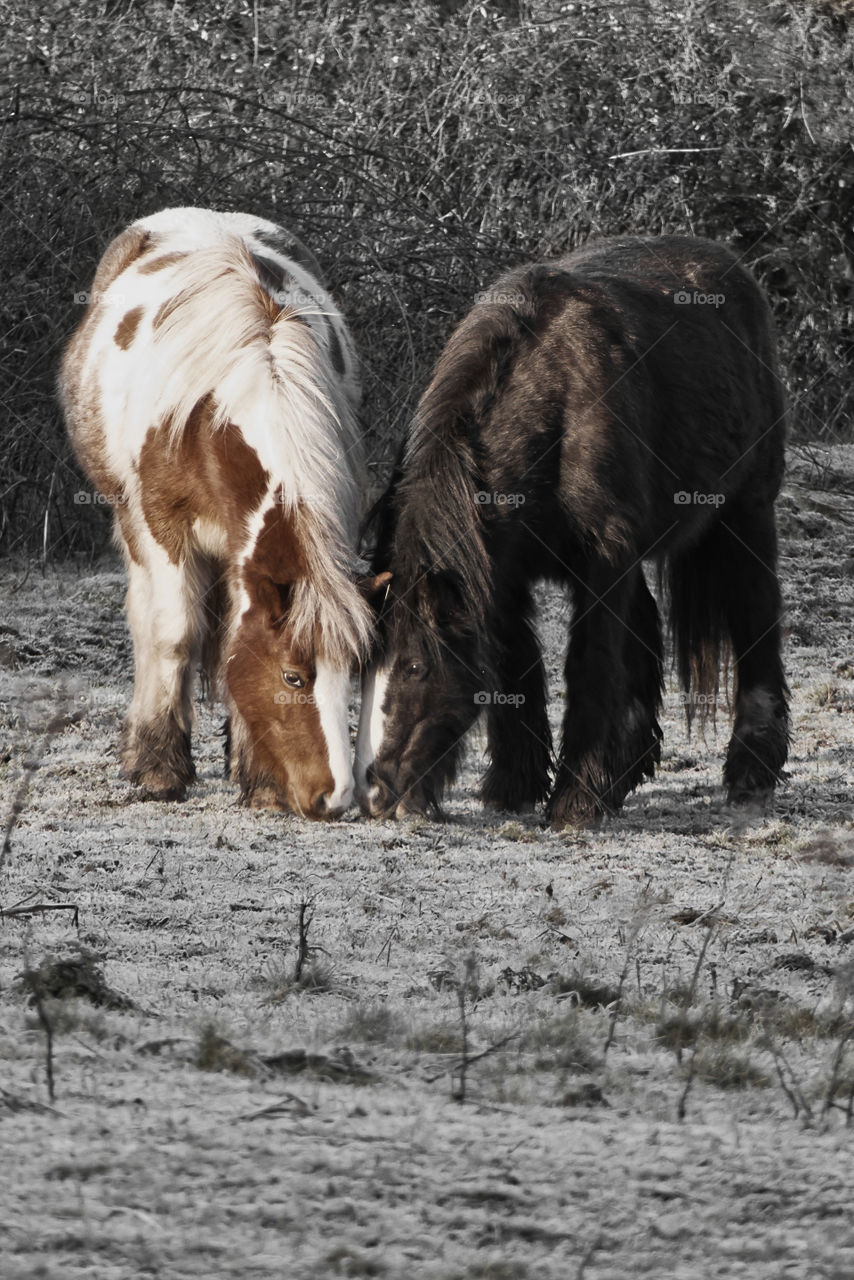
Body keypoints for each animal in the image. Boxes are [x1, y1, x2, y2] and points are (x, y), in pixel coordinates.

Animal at [61, 206, 381, 818]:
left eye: (352, 676)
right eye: (294, 677)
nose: (335, 798)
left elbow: (237, 633)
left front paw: (260, 779)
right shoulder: (164, 532)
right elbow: (174, 636)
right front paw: (160, 772)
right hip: (130, 525)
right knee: (148, 621)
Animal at [355, 235, 790, 828]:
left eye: (417, 665)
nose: (377, 794)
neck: (554, 403)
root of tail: (734, 269)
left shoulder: (603, 559)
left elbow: (590, 666)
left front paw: (574, 800)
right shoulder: (505, 571)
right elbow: (517, 668)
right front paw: (515, 787)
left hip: (747, 514)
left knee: (756, 622)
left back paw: (751, 771)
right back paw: (623, 775)